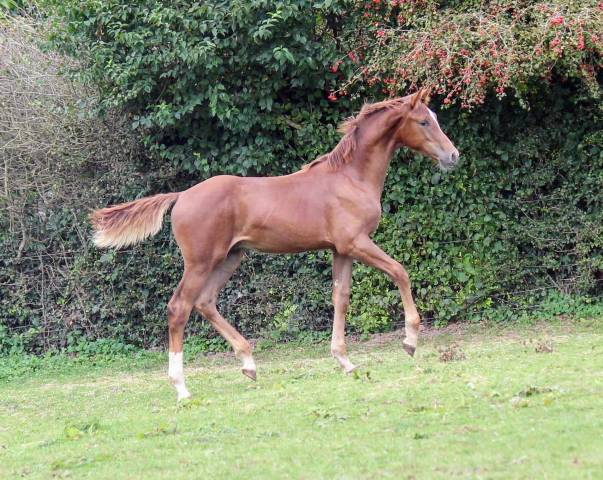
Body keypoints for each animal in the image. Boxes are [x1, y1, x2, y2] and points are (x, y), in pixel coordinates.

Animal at [91, 88, 458, 400]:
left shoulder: (341, 250)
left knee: (205, 302)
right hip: (201, 261)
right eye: (424, 121)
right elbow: (400, 272)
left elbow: (340, 298)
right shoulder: (356, 243)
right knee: (179, 307)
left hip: (230, 257)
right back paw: (182, 387)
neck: (349, 178)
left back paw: (249, 364)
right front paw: (410, 341)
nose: (453, 156)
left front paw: (345, 361)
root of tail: (181, 196)